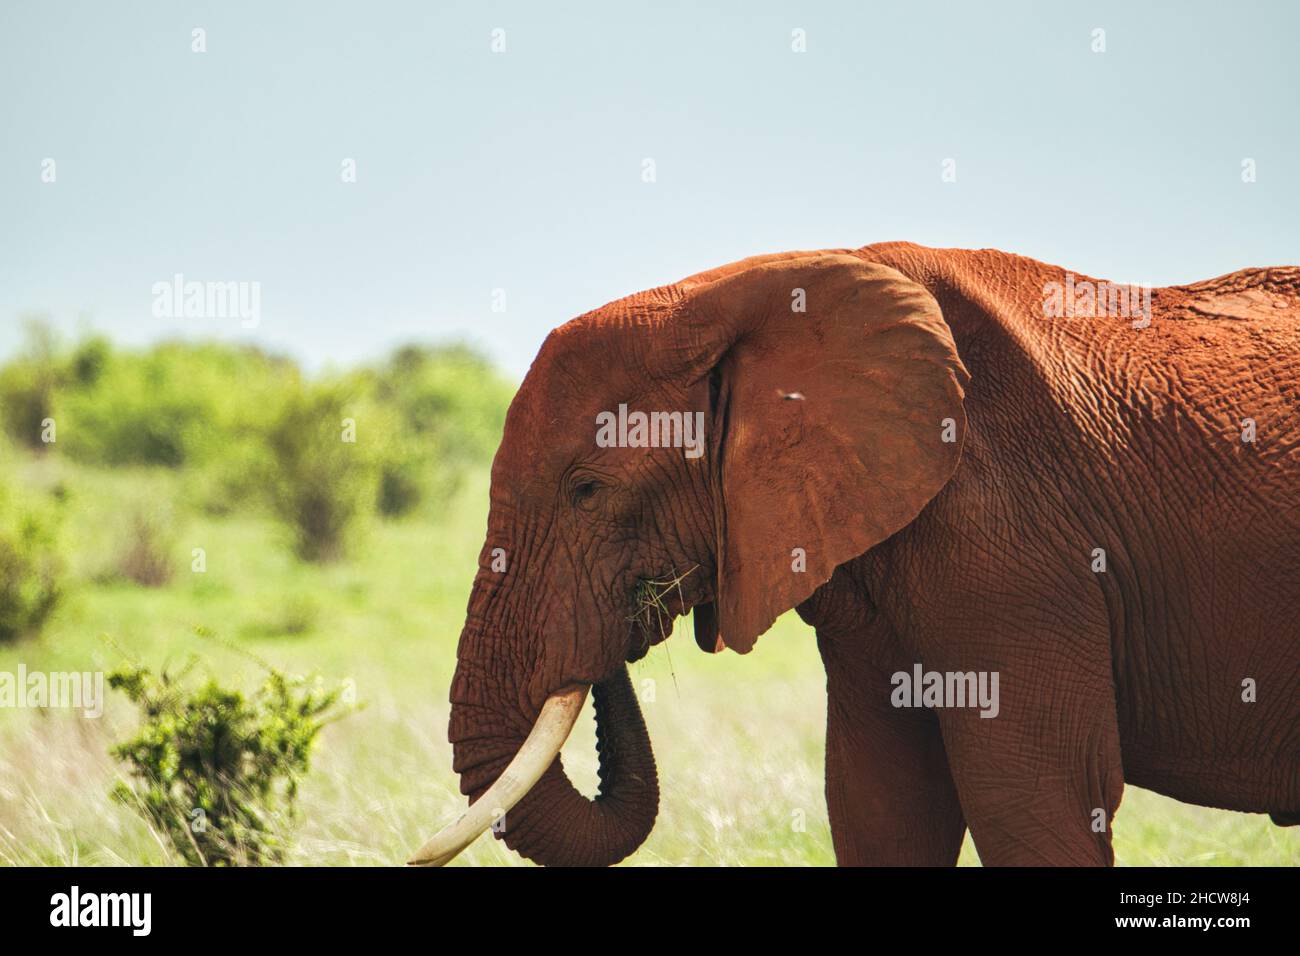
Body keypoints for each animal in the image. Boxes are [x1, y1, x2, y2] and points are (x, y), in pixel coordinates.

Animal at [413, 240, 1300, 868]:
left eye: (586, 489)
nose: (633, 620)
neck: (743, 294)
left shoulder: (1015, 547)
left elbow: (1032, 798)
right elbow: (882, 801)